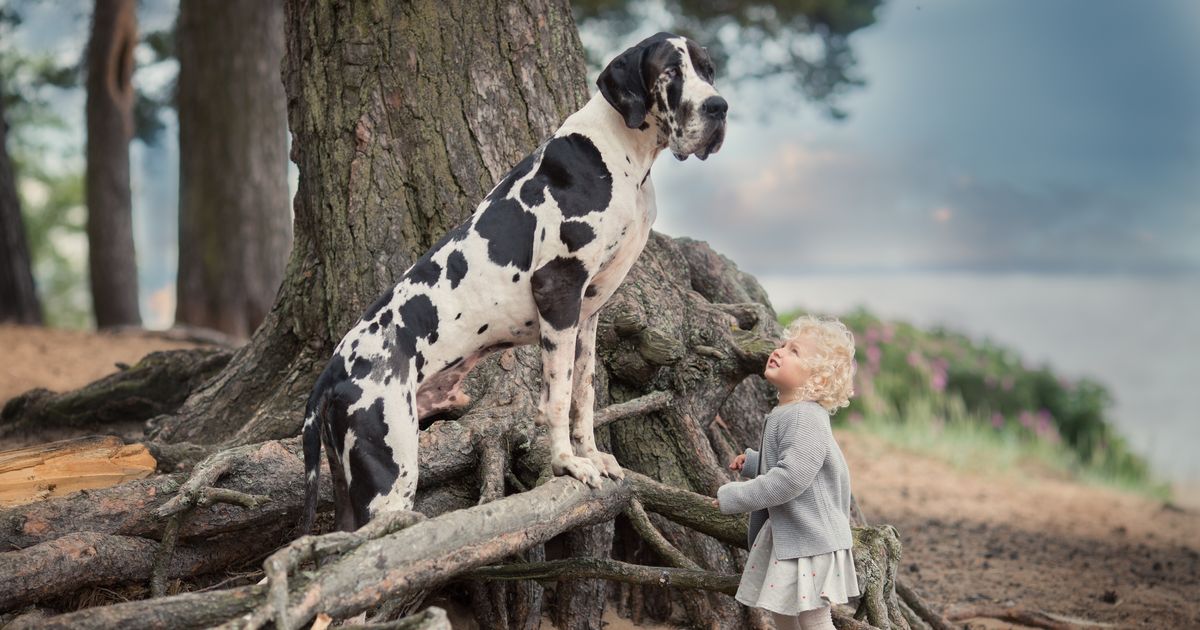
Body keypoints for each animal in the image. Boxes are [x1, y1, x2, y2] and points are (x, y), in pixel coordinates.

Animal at [304, 34, 724, 532]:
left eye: (708, 69)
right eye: (671, 73)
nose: (718, 107)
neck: (622, 154)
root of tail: (331, 372)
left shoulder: (589, 313)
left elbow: (584, 393)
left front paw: (593, 454)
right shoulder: (557, 289)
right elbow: (557, 397)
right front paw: (567, 463)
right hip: (390, 474)